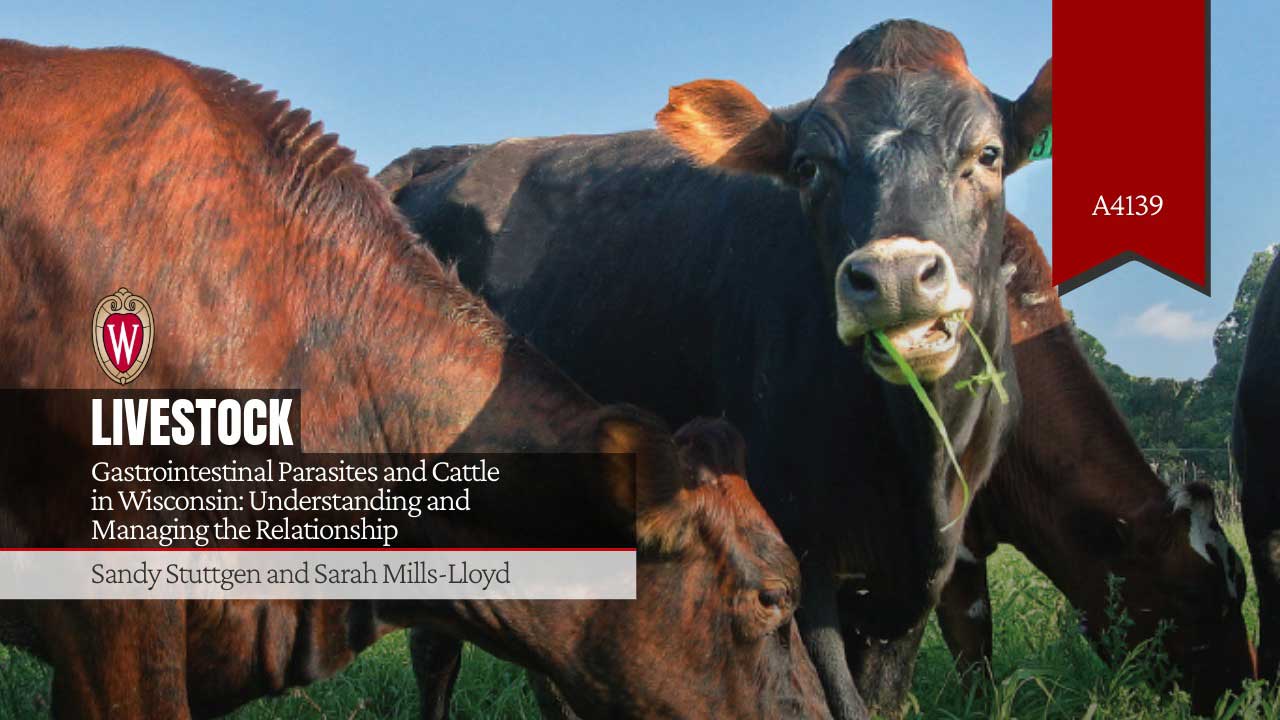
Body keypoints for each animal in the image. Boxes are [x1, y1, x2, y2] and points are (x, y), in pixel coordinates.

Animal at [382, 19, 1049, 717]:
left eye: (989, 154)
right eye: (807, 167)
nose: (894, 278)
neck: (912, 463)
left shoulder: (920, 571)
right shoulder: (799, 544)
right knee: (435, 651)